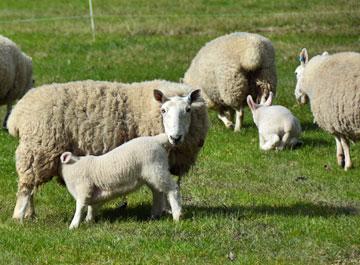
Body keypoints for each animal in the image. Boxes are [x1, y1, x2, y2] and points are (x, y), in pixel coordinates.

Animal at [7, 79, 210, 220]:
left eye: (188, 110)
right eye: (163, 111)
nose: (176, 138)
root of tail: (18, 112)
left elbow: (159, 189)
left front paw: (161, 212)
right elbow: (160, 188)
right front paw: (164, 211)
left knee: (30, 188)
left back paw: (30, 214)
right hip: (37, 151)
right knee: (26, 188)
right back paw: (19, 217)